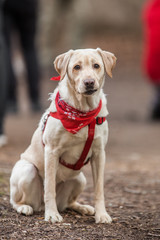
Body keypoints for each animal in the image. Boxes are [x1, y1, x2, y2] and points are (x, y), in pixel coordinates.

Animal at [9, 47, 116, 224]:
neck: (83, 112)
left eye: (96, 65)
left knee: (68, 203)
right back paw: (25, 207)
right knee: (16, 201)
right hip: (27, 170)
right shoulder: (52, 151)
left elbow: (99, 190)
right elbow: (49, 188)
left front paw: (102, 214)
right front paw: (52, 214)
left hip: (79, 178)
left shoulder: (99, 154)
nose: (89, 82)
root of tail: (39, 205)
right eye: (76, 67)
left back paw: (83, 208)